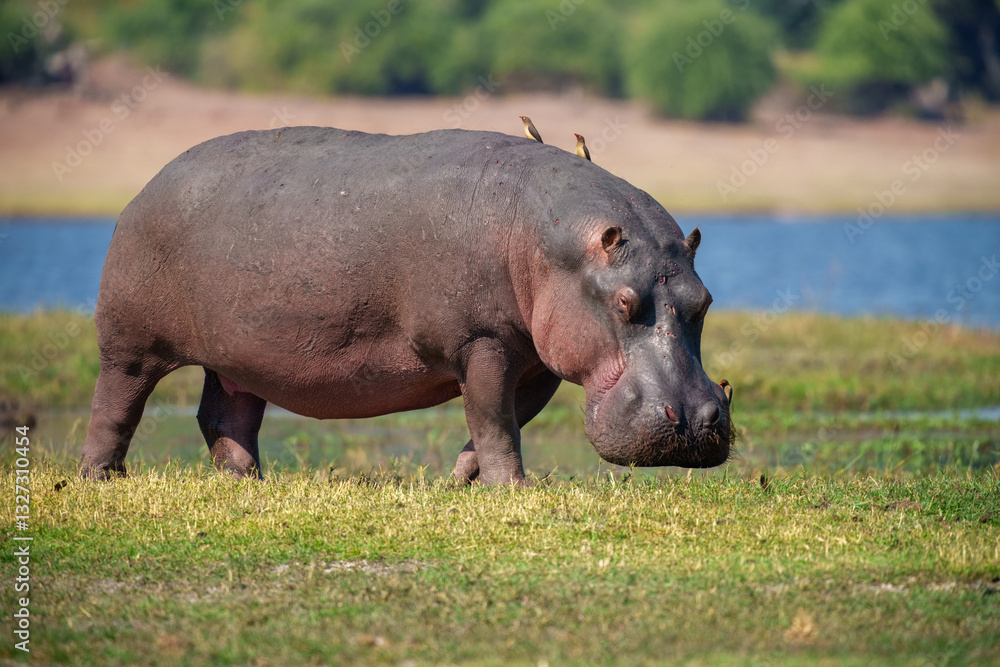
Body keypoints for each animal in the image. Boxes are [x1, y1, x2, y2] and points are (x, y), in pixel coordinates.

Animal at [80, 127, 733, 484]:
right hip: (130, 342)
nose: (694, 423)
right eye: (624, 304)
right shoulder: (482, 342)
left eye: (703, 302)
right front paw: (514, 490)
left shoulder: (539, 358)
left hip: (237, 358)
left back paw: (250, 483)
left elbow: (503, 422)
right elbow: (493, 419)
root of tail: (151, 180)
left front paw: (459, 482)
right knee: (116, 406)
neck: (548, 242)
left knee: (225, 416)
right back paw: (101, 479)